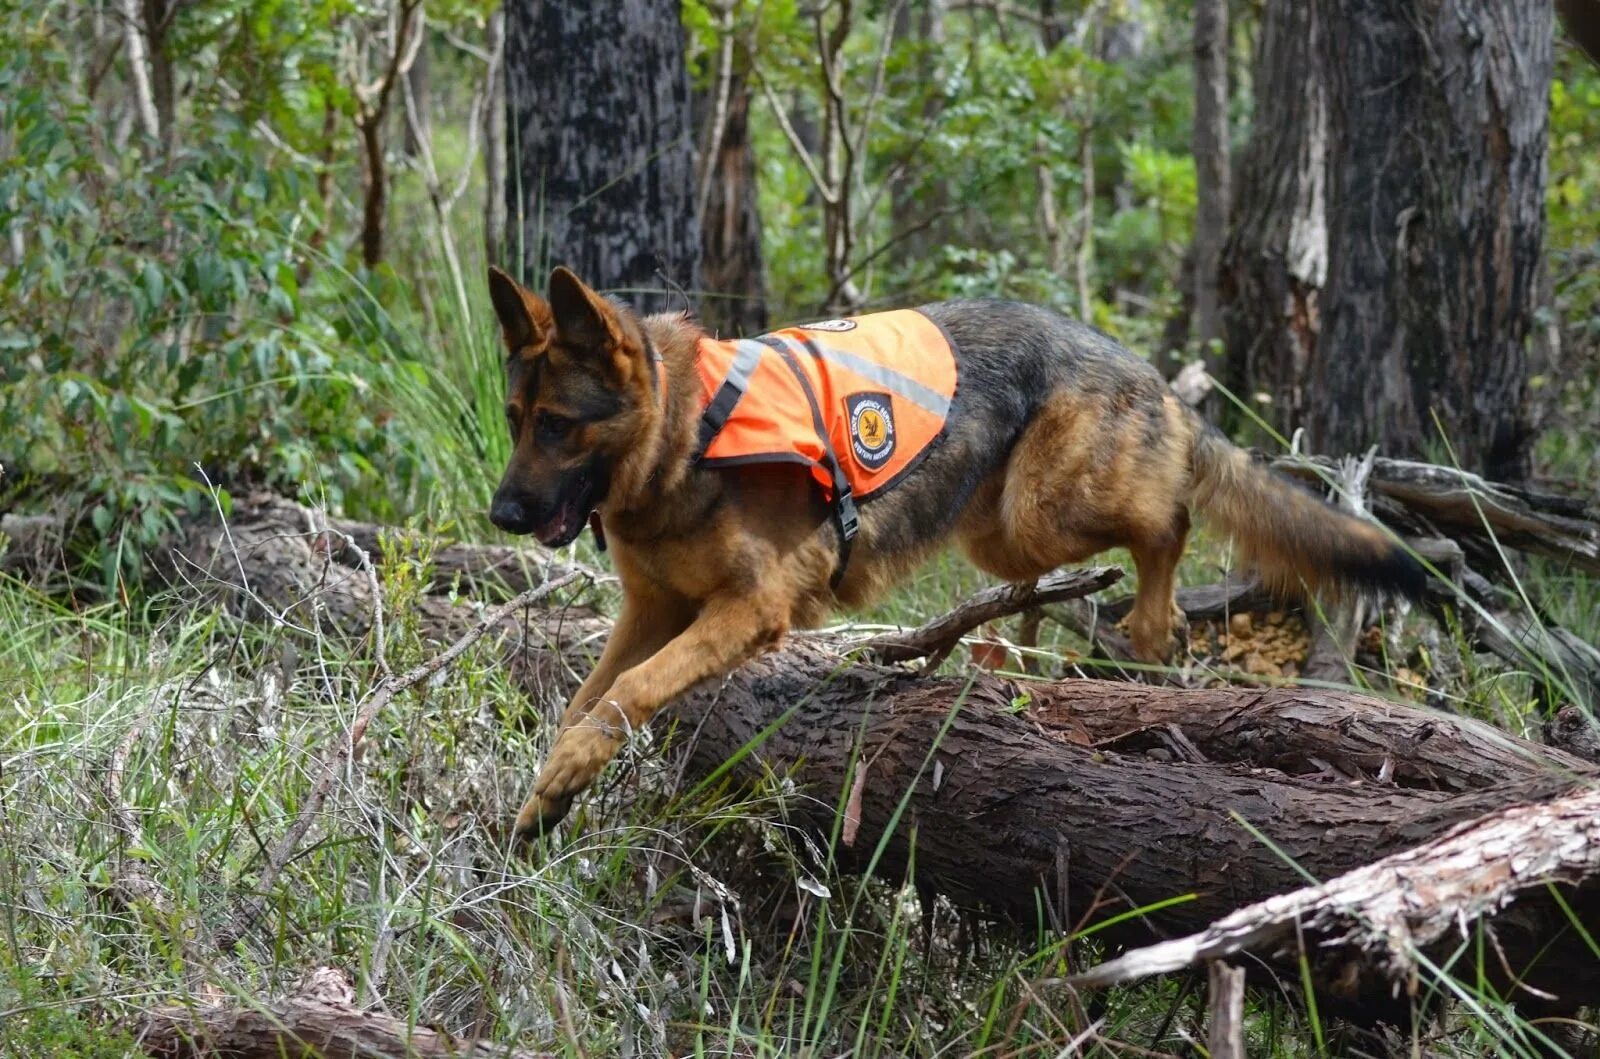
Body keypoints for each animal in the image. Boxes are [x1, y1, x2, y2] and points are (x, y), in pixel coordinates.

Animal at [483, 265, 1427, 838]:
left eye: (558, 425)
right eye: (514, 421)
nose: (500, 512)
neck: (689, 429)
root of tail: (1150, 375)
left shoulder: (746, 611)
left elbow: (629, 692)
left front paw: (567, 771)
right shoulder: (653, 613)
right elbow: (586, 700)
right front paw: (550, 790)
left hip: (1047, 511)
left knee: (1169, 520)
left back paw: (1153, 623)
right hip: (999, 535)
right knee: (1093, 563)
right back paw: (1073, 649)